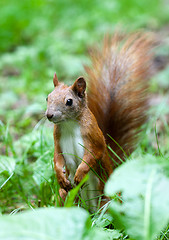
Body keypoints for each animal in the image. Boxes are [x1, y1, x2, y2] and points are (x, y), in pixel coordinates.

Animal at [45, 31, 155, 210]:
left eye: (69, 101)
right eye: (47, 97)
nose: (49, 115)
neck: (68, 125)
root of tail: (90, 211)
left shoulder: (93, 136)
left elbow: (94, 153)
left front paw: (79, 174)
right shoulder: (57, 139)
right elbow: (57, 158)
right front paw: (61, 177)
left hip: (109, 200)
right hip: (65, 197)